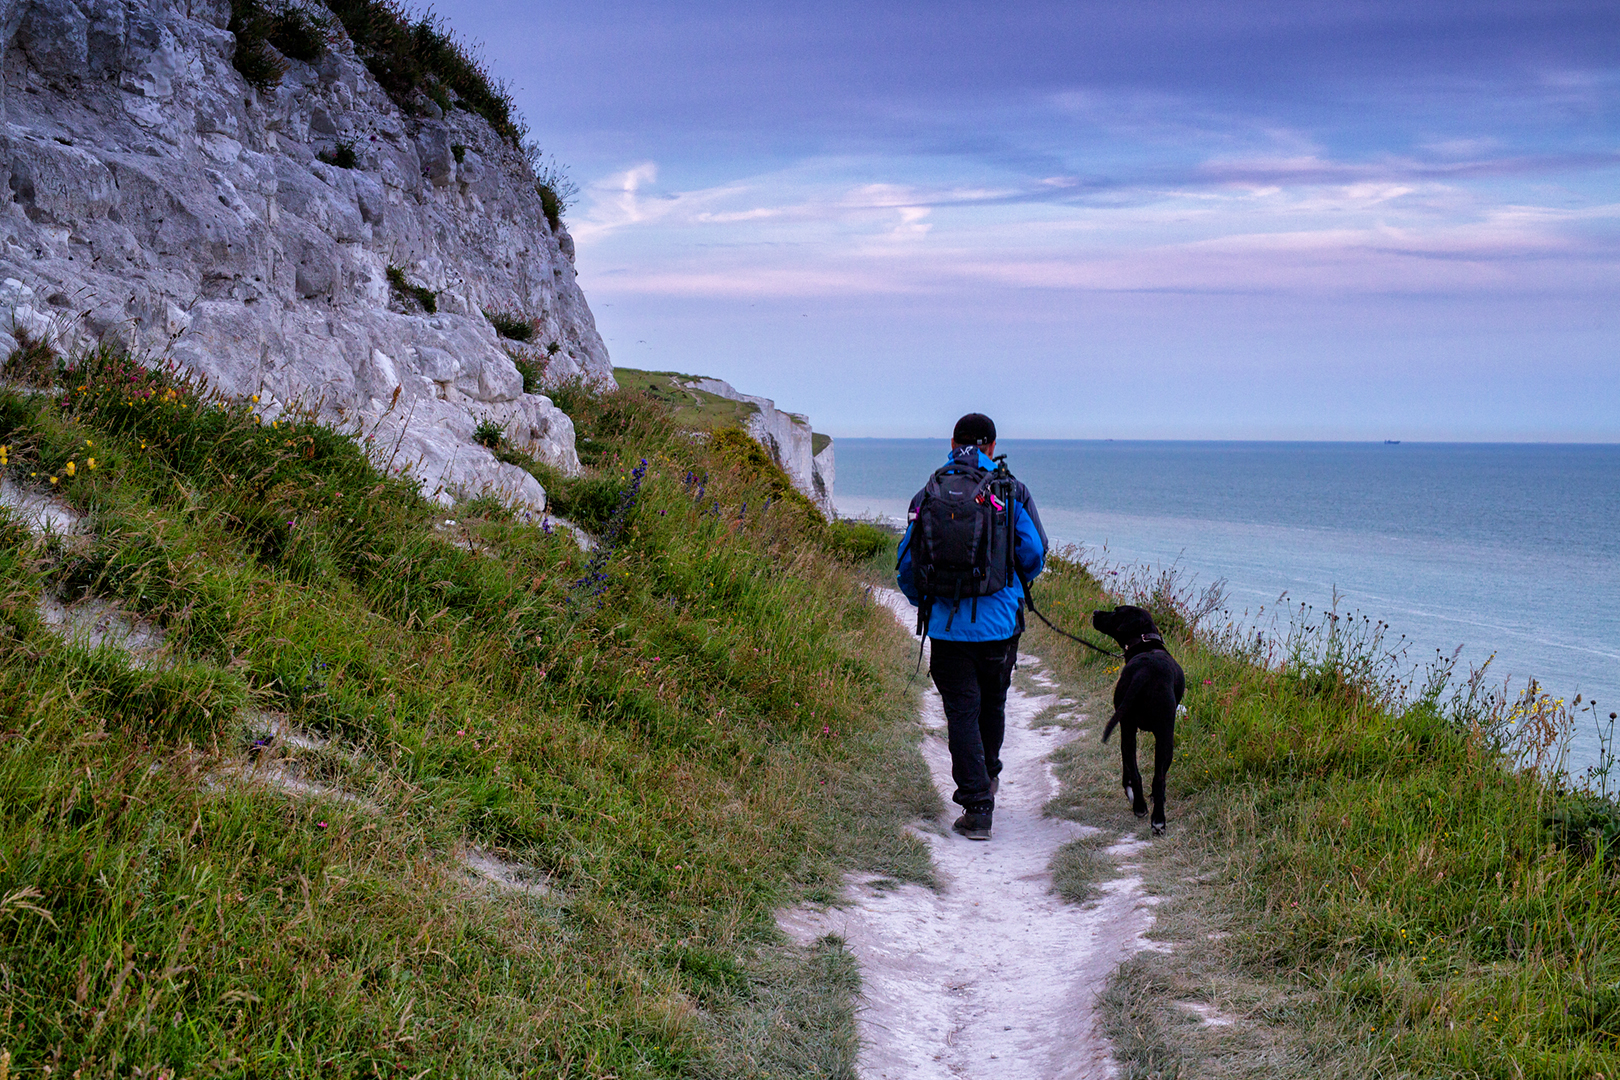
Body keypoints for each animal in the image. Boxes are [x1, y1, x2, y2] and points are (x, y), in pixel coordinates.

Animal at [1095, 608, 1185, 835]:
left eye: (1115, 612)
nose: (1095, 612)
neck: (1146, 642)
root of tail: (1145, 672)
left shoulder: (1128, 727)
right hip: (1159, 734)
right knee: (1155, 778)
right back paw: (1155, 818)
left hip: (1129, 728)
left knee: (1136, 770)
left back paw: (1143, 809)